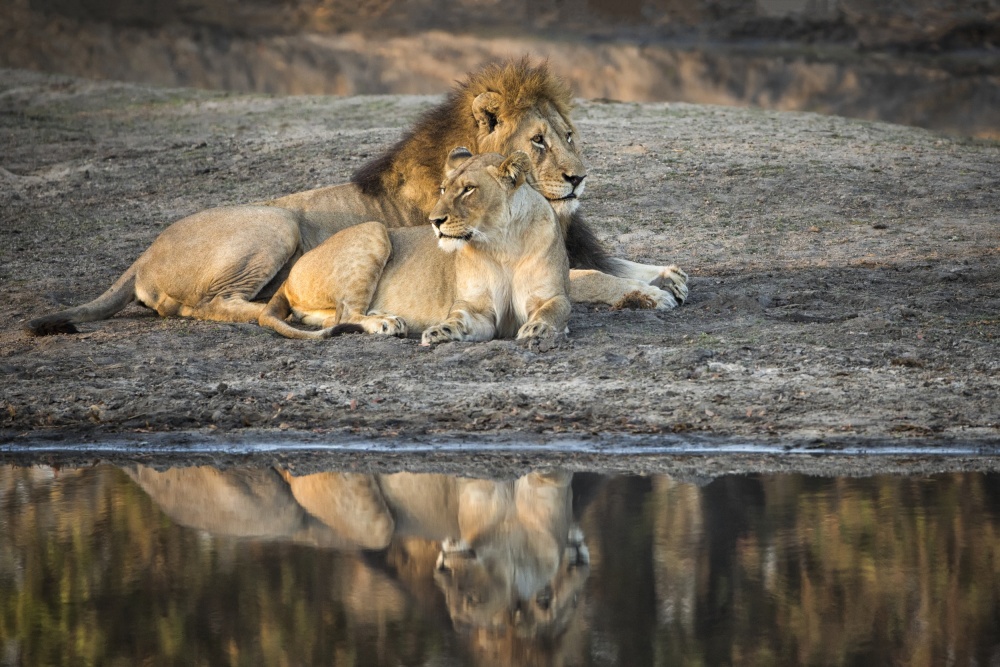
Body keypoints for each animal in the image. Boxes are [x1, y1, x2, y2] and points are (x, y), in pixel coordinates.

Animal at [258, 146, 572, 344]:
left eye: (469, 189)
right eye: (444, 188)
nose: (435, 220)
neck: (501, 244)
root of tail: (288, 277)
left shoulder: (551, 295)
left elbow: (555, 310)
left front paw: (539, 328)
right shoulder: (476, 307)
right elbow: (459, 317)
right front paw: (441, 330)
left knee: (334, 320)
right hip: (375, 229)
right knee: (347, 314)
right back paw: (386, 323)